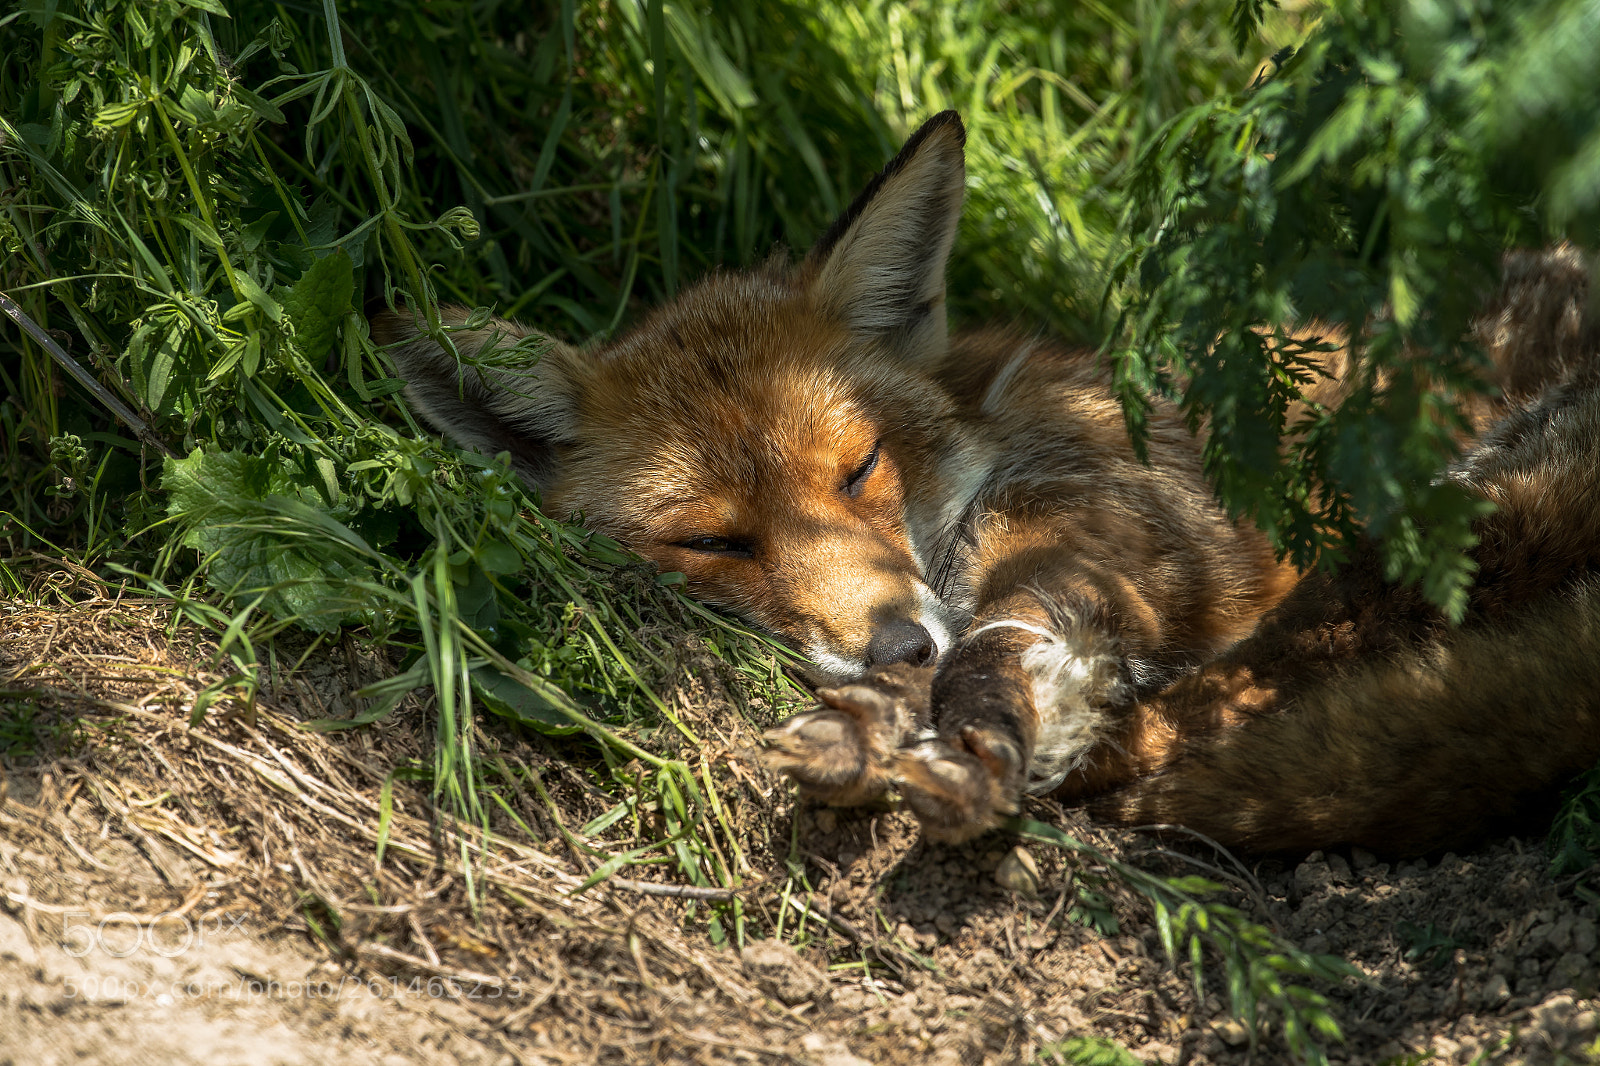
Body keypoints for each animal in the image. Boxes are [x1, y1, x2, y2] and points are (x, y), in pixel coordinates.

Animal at [376, 110, 1600, 856]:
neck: (987, 435)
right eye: (714, 541)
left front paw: (973, 719)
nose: (893, 647)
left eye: (861, 466)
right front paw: (932, 715)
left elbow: (1006, 637)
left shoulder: (1133, 522)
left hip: (1454, 527)